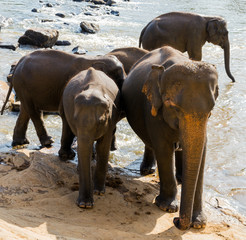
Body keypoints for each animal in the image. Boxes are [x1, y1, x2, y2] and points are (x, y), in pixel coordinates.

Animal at [58, 67, 122, 208]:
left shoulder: (110, 119)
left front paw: (99, 192)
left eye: (100, 122)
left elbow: (103, 147)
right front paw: (85, 204)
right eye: (75, 119)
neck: (94, 88)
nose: (84, 204)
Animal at [122, 46, 218, 230]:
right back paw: (148, 171)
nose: (176, 221)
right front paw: (167, 207)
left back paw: (180, 178)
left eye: (211, 110)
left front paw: (198, 223)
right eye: (171, 105)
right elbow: (163, 149)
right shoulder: (153, 110)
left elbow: (202, 152)